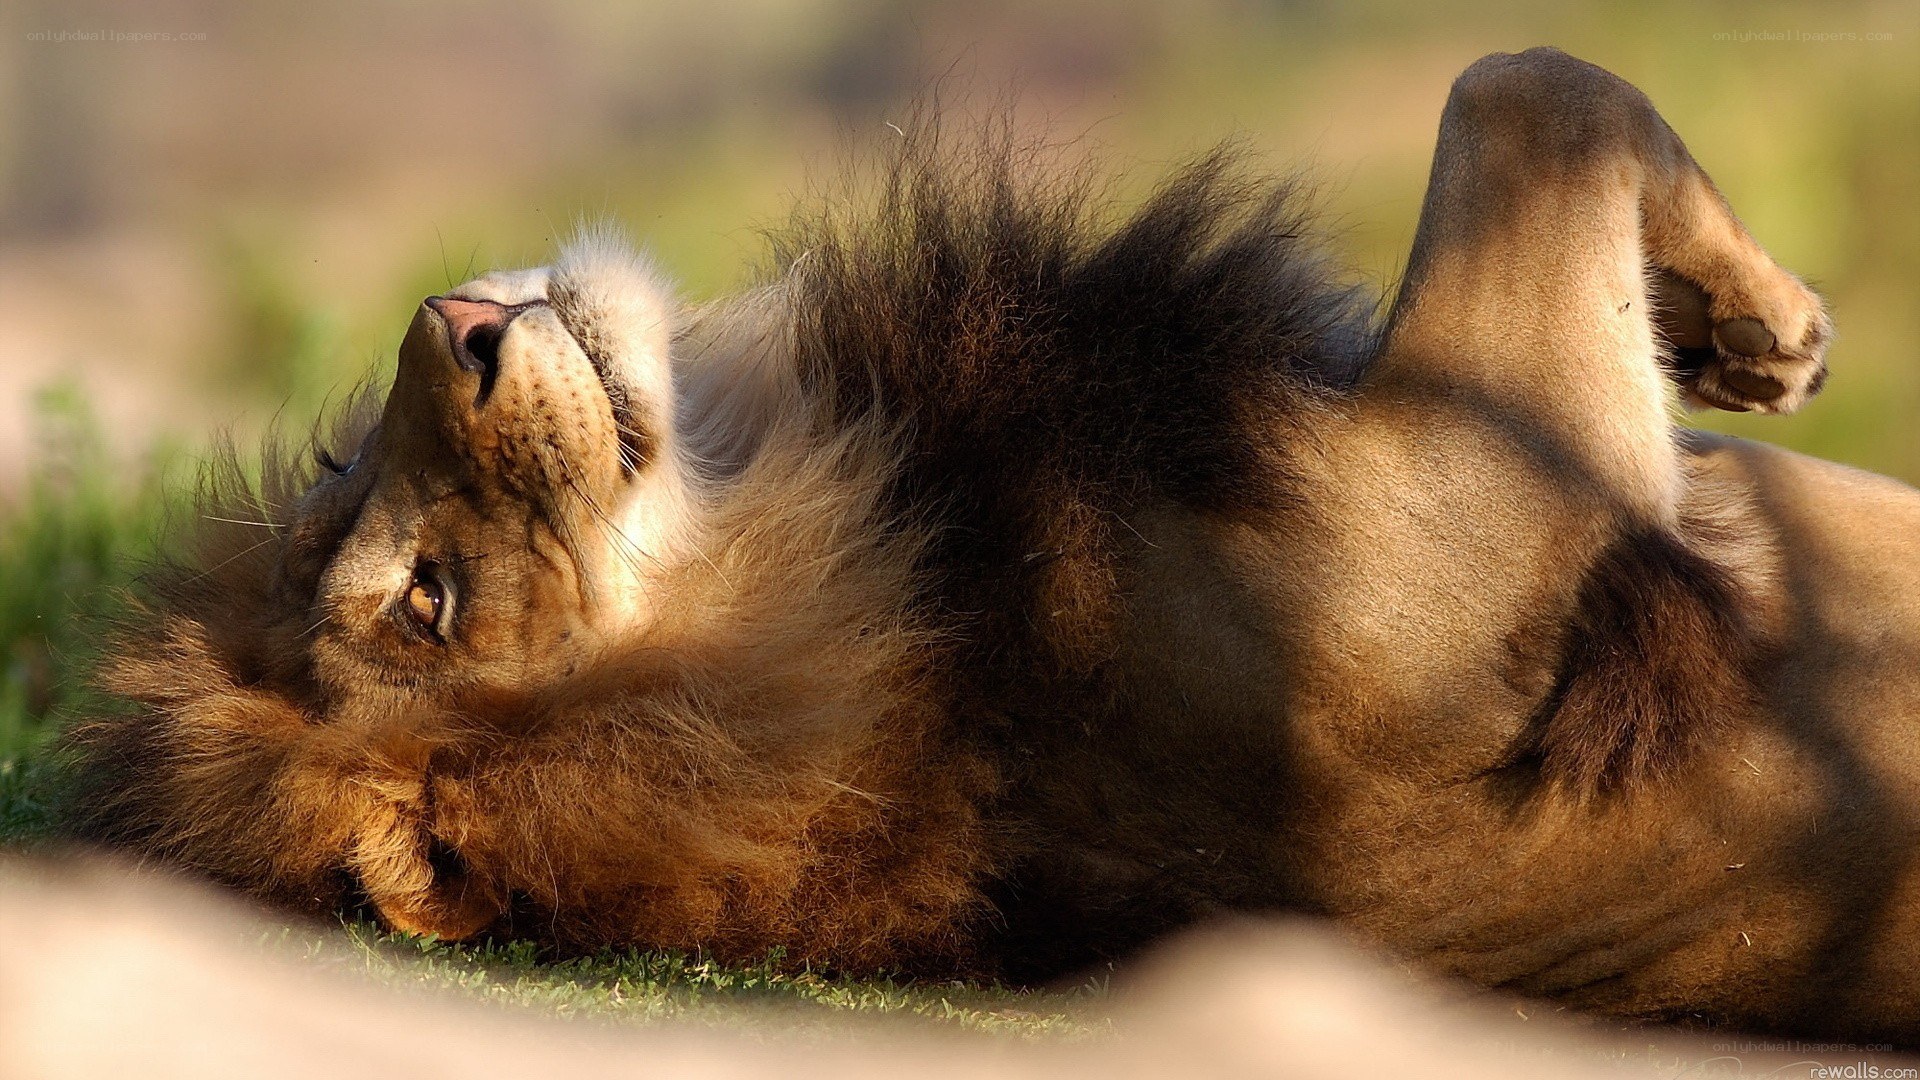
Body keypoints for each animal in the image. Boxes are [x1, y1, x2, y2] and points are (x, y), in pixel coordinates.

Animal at [62, 47, 1920, 1041]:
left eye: (339, 473)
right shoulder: (1521, 492)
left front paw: (1741, 340)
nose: (451, 318)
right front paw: (1768, 325)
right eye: (425, 604)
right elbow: (1533, 92)